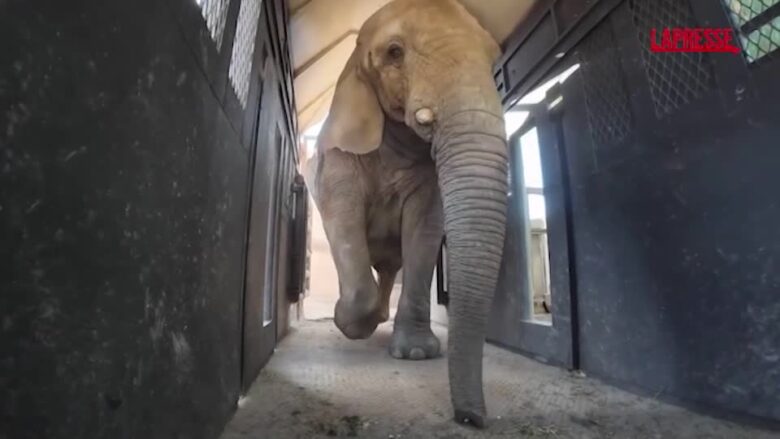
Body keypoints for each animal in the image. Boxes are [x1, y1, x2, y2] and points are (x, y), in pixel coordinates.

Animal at [305, 0, 508, 428]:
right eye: (394, 52)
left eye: (493, 56)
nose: (472, 419)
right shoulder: (337, 157)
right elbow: (342, 217)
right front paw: (347, 322)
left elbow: (425, 229)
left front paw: (415, 354)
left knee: (391, 267)